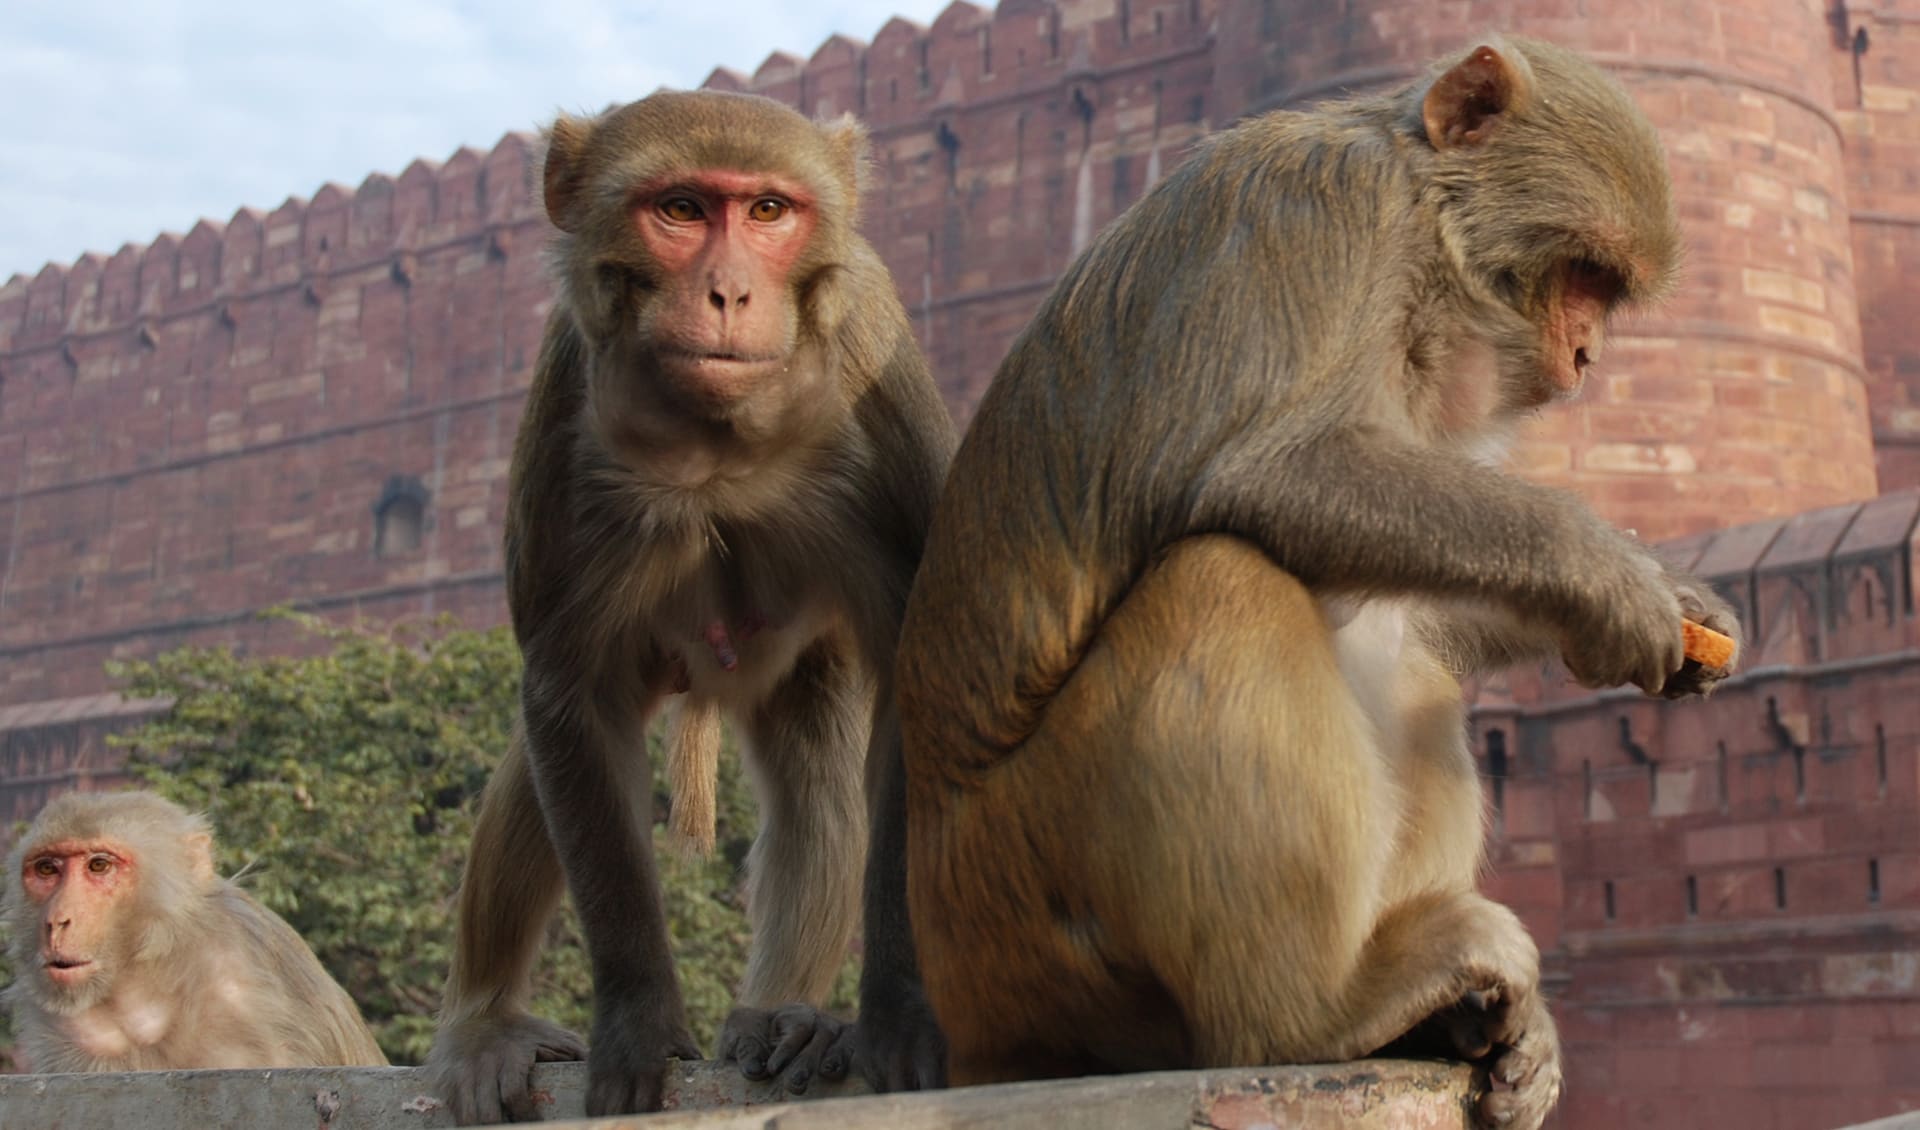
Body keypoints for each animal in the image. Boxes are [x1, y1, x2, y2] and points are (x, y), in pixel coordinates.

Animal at [424, 90, 956, 1123]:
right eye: (679, 209)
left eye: (768, 212)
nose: (727, 293)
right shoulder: (564, 396)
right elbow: (568, 690)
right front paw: (635, 1018)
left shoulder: (876, 365)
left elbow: (923, 671)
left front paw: (902, 1012)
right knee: (543, 755)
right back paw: (485, 1021)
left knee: (821, 781)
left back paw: (785, 1015)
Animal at [894, 36, 1741, 1130]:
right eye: (1581, 274)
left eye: (1606, 289)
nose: (1588, 356)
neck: (1420, 240)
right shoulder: (1323, 213)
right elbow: (1267, 475)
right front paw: (1603, 571)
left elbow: (1419, 609)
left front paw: (1670, 602)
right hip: (1025, 922)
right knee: (1223, 578)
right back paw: (1314, 1011)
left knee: (1414, 671)